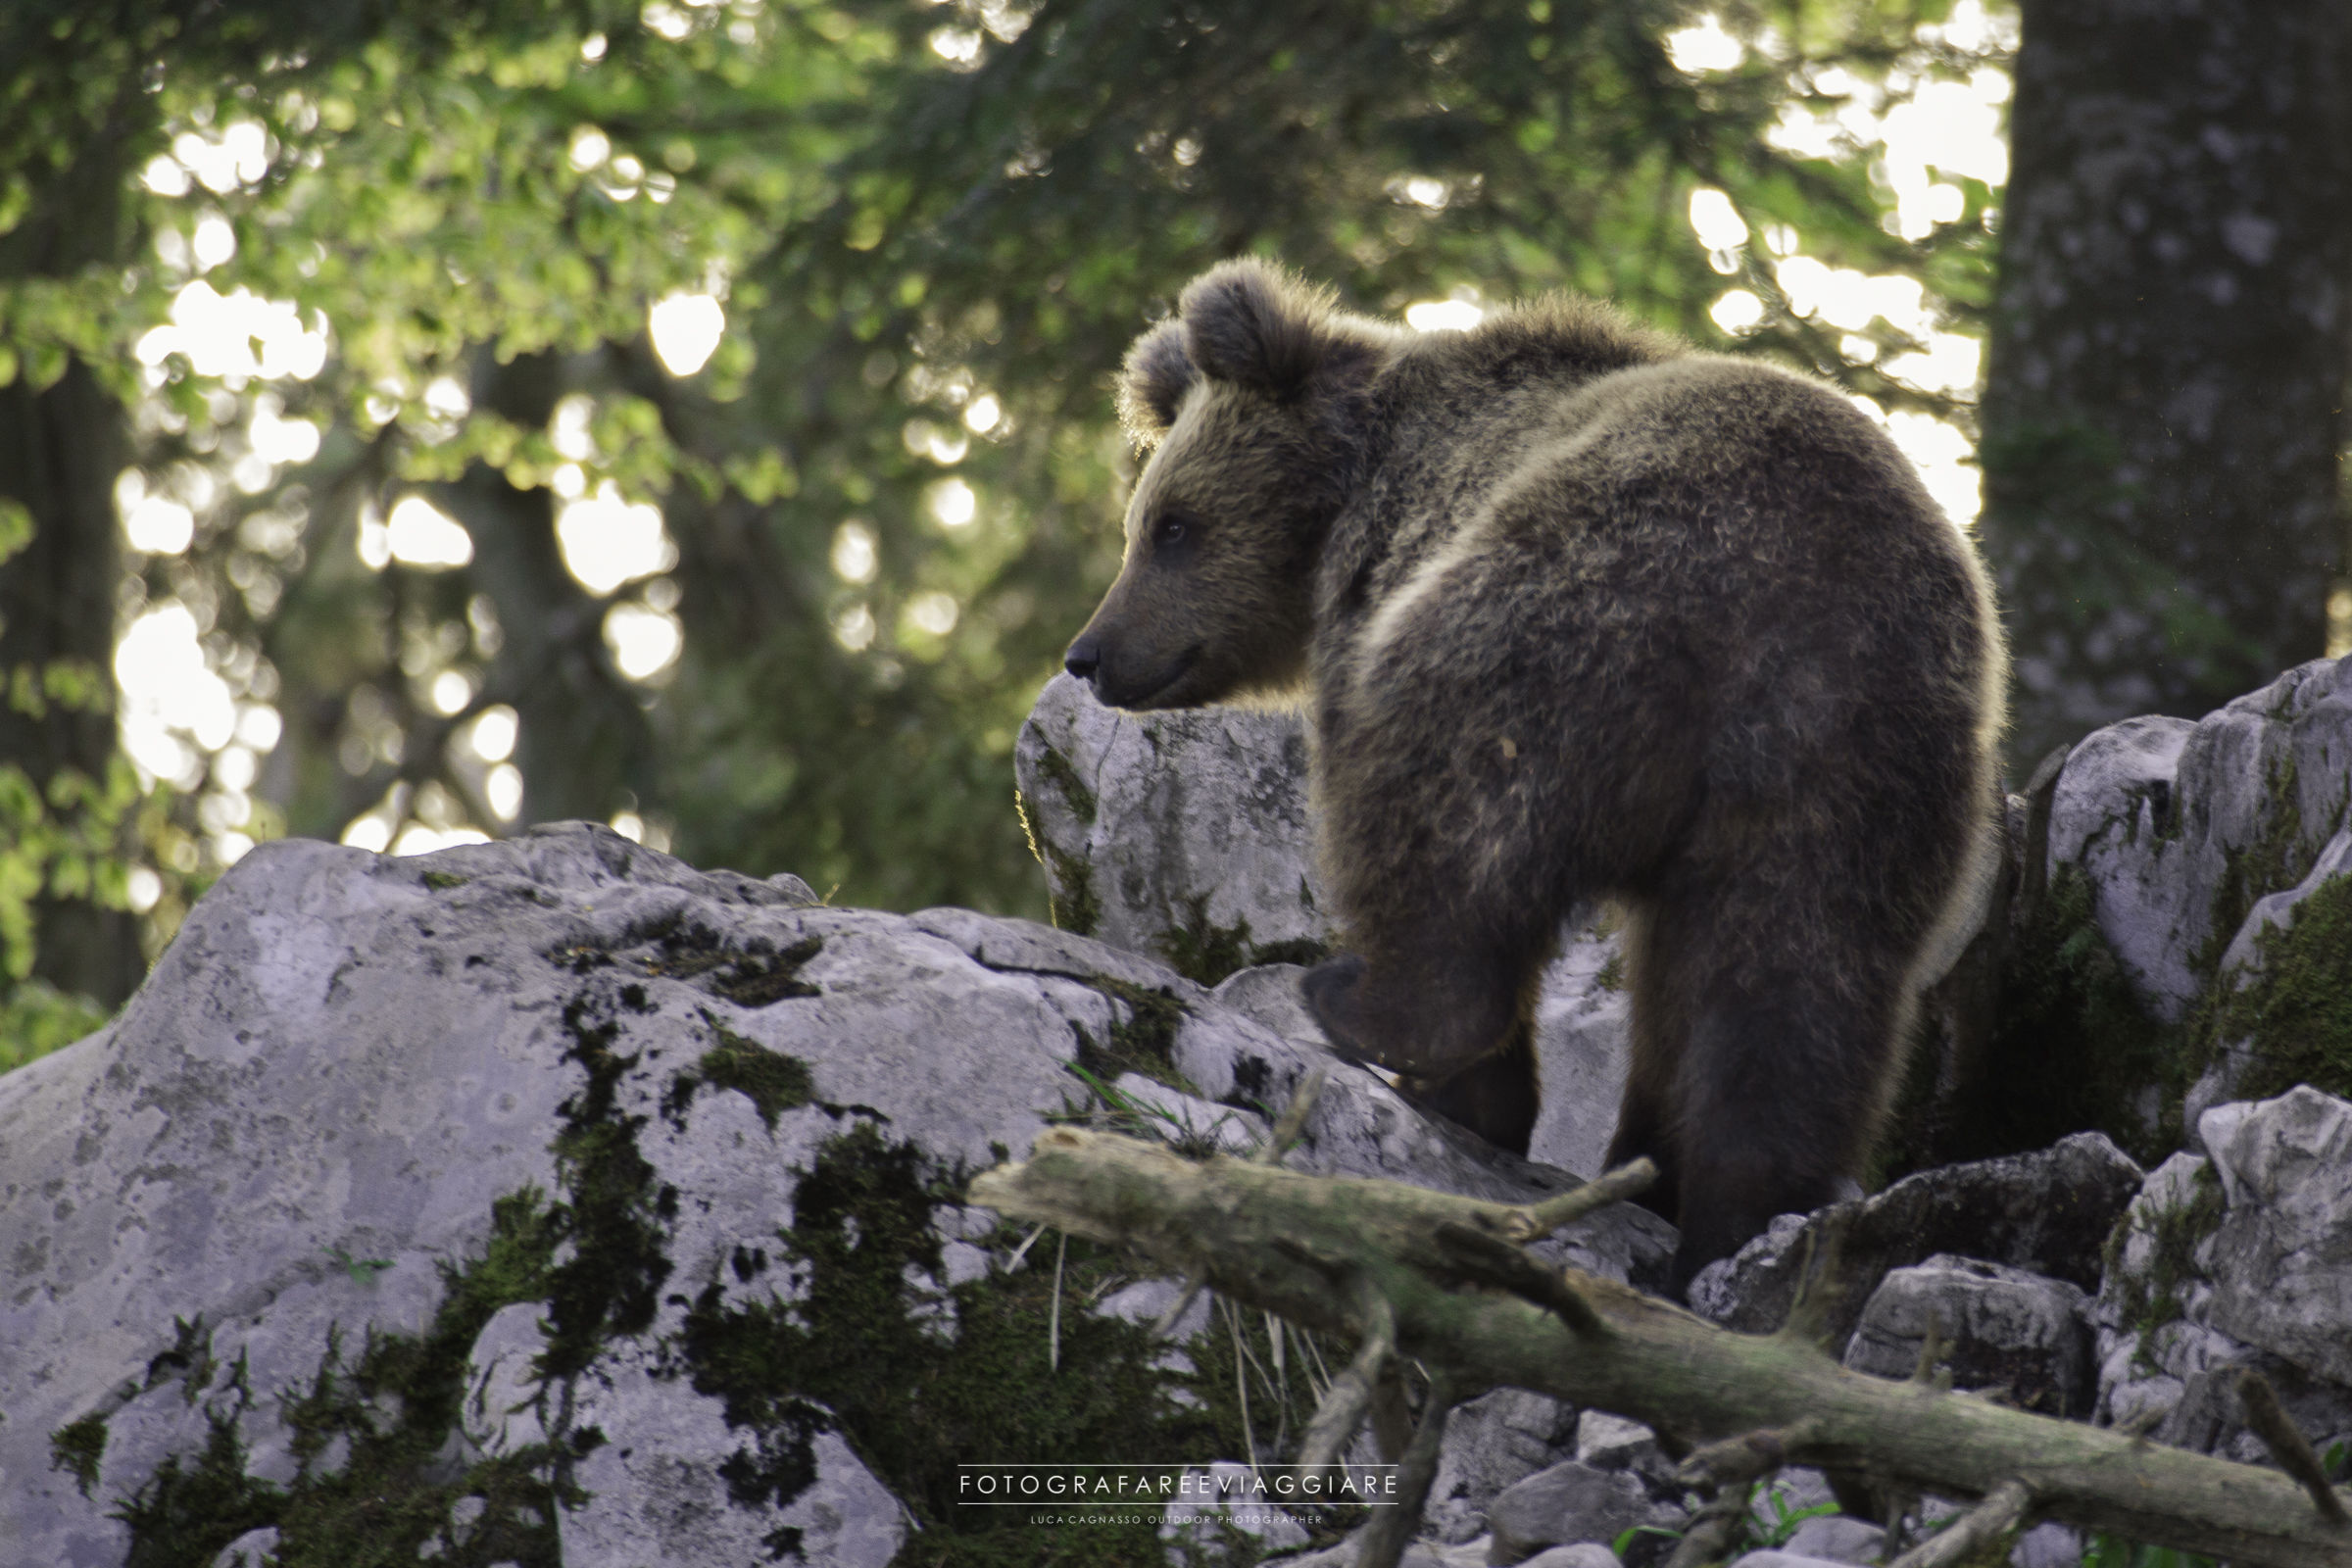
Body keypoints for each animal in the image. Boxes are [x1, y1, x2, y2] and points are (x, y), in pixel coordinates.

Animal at [1062, 258, 2006, 1290]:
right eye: (1147, 525)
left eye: (1173, 527)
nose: (1089, 654)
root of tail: (1778, 592)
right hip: (1859, 762)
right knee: (1794, 982)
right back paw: (1729, 1217)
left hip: (1548, 623)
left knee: (1440, 838)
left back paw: (1369, 1011)